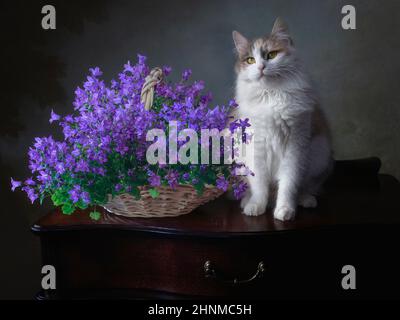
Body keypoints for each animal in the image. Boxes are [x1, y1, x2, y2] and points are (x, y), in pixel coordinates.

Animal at [230, 17, 332, 221]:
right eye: (250, 60)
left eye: (271, 55)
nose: (261, 67)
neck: (271, 95)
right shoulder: (257, 149)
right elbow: (259, 186)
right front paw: (256, 206)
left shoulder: (294, 148)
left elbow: (288, 185)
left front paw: (285, 210)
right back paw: (247, 201)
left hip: (319, 156)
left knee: (305, 188)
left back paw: (306, 200)